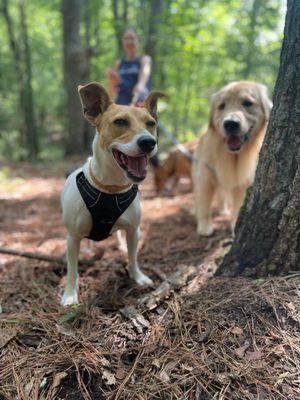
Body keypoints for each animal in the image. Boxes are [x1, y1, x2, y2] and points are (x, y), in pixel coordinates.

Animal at [60, 83, 165, 304]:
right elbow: (72, 270)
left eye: (151, 123)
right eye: (120, 122)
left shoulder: (134, 229)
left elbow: (133, 257)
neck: (110, 188)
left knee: (118, 234)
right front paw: (70, 294)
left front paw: (137, 277)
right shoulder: (72, 238)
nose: (148, 142)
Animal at [193, 81, 274, 236]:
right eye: (221, 106)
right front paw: (204, 227)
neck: (233, 156)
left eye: (247, 103)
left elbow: (238, 208)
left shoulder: (243, 183)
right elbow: (204, 205)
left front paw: (234, 225)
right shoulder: (205, 178)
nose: (230, 124)